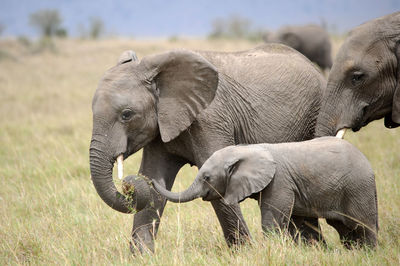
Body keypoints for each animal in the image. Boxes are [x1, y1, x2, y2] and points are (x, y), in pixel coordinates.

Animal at [89, 44, 326, 254]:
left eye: (126, 115)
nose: (127, 184)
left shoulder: (210, 119)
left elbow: (217, 181)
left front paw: (244, 253)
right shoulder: (160, 125)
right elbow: (152, 181)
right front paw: (141, 256)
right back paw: (311, 247)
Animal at [152, 137, 378, 249]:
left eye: (206, 177)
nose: (152, 179)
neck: (247, 149)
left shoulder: (280, 182)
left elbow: (273, 222)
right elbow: (298, 223)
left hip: (359, 188)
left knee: (364, 225)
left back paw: (369, 252)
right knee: (344, 228)